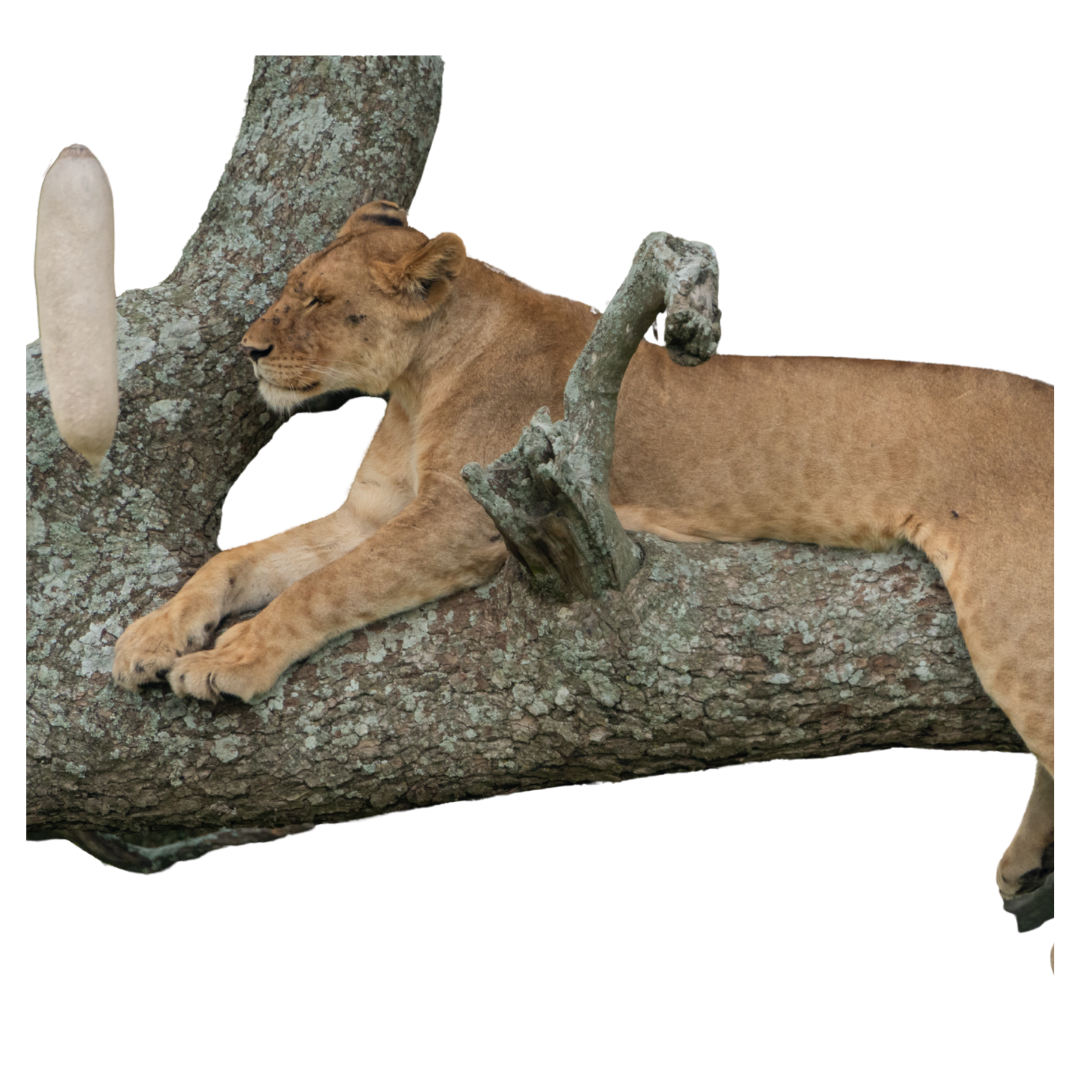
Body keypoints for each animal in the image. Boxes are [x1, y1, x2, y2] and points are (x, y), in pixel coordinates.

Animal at [112, 200, 1055, 946]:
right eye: (291, 286)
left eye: (319, 300)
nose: (249, 349)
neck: (420, 378)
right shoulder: (369, 515)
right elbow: (241, 559)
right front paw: (147, 640)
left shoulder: (466, 516)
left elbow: (321, 588)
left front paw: (228, 662)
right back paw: (1025, 867)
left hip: (1010, 599)